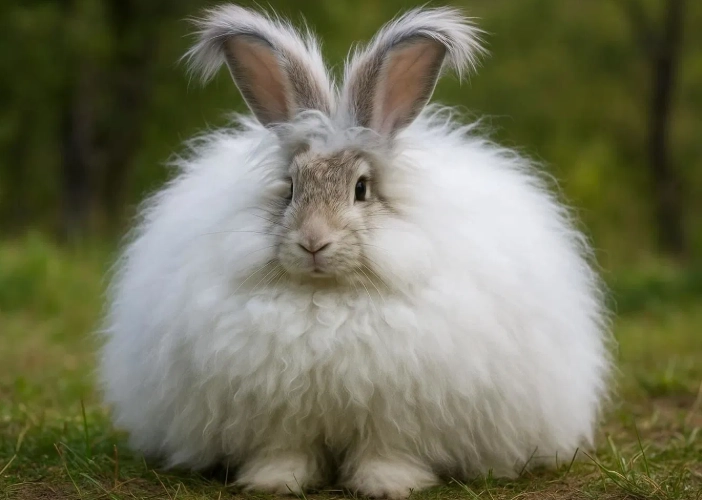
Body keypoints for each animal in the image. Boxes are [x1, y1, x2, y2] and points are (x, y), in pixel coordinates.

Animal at [99, 4, 611, 498]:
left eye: (361, 189)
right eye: (290, 188)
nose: (313, 241)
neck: (327, 299)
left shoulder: (396, 413)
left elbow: (387, 451)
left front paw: (387, 486)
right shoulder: (280, 415)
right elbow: (285, 450)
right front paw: (274, 482)